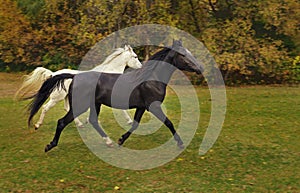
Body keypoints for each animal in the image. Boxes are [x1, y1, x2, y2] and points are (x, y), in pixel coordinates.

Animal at [15, 45, 143, 129]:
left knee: (67, 109)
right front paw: (129, 121)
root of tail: (53, 74)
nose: (141, 67)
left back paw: (79, 124)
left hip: (66, 97)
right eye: (135, 57)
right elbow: (122, 109)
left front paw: (88, 121)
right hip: (57, 98)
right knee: (45, 108)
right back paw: (37, 125)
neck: (109, 72)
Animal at [28, 40, 203, 152]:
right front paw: (180, 143)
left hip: (94, 104)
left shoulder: (141, 107)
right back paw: (49, 144)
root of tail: (74, 77)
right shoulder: (153, 106)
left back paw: (109, 142)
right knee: (61, 121)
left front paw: (121, 140)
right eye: (184, 55)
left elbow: (135, 124)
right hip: (79, 104)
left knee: (92, 120)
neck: (152, 79)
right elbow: (169, 123)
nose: (200, 68)